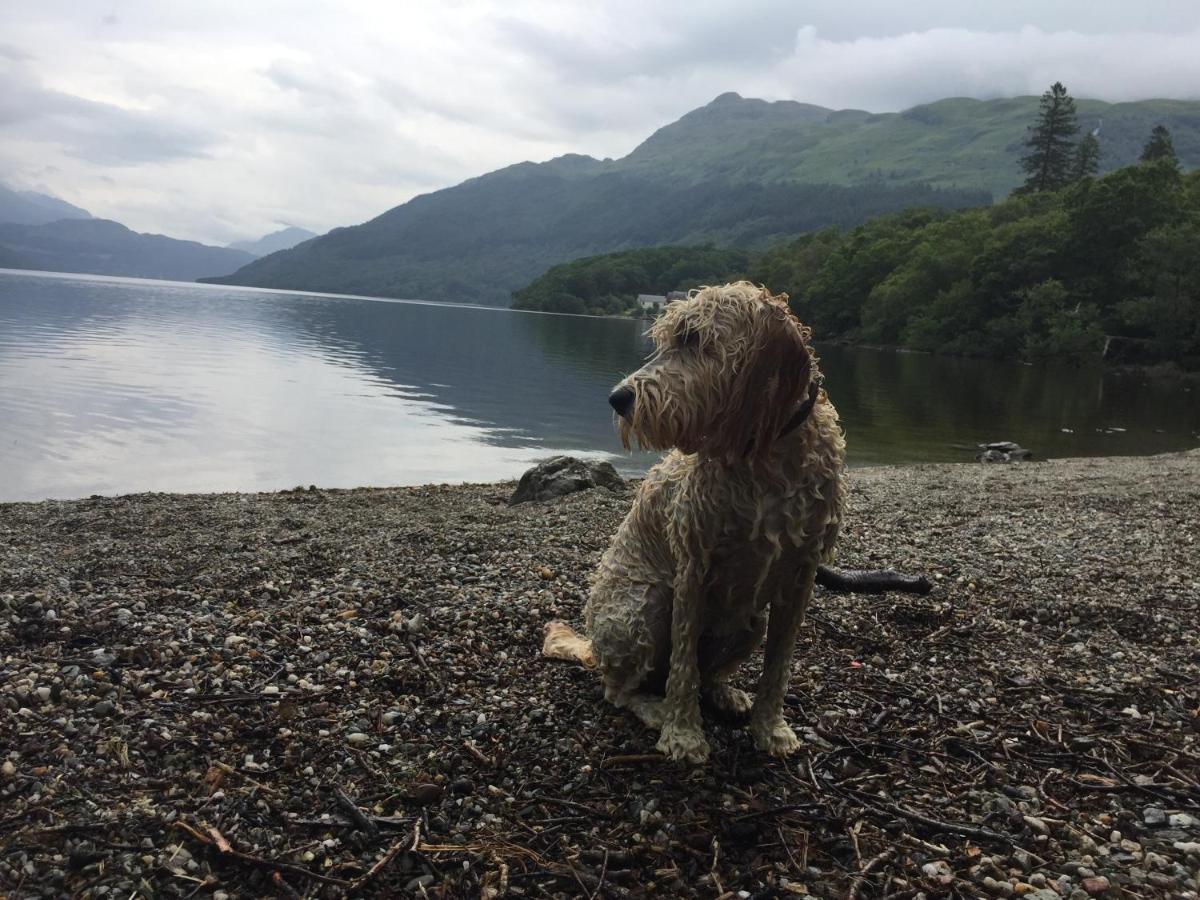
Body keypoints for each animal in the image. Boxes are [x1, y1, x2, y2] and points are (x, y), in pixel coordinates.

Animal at [559, 282, 849, 763]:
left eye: (694, 339)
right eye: (665, 339)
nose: (618, 399)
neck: (765, 457)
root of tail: (593, 646)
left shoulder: (801, 575)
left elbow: (779, 665)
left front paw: (770, 728)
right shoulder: (693, 568)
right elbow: (683, 667)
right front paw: (682, 734)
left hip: (751, 623)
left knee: (706, 673)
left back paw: (725, 693)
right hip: (646, 603)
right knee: (619, 689)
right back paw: (653, 708)